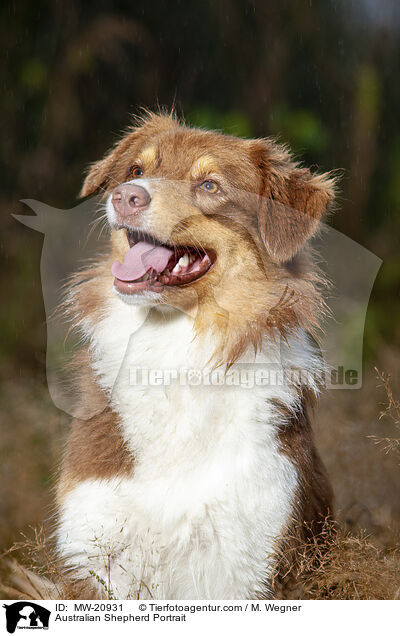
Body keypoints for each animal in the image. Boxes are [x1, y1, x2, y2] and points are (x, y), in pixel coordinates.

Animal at [55, 112, 334, 600]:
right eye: (136, 170)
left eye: (209, 185)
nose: (125, 196)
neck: (174, 345)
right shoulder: (93, 547)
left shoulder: (248, 561)